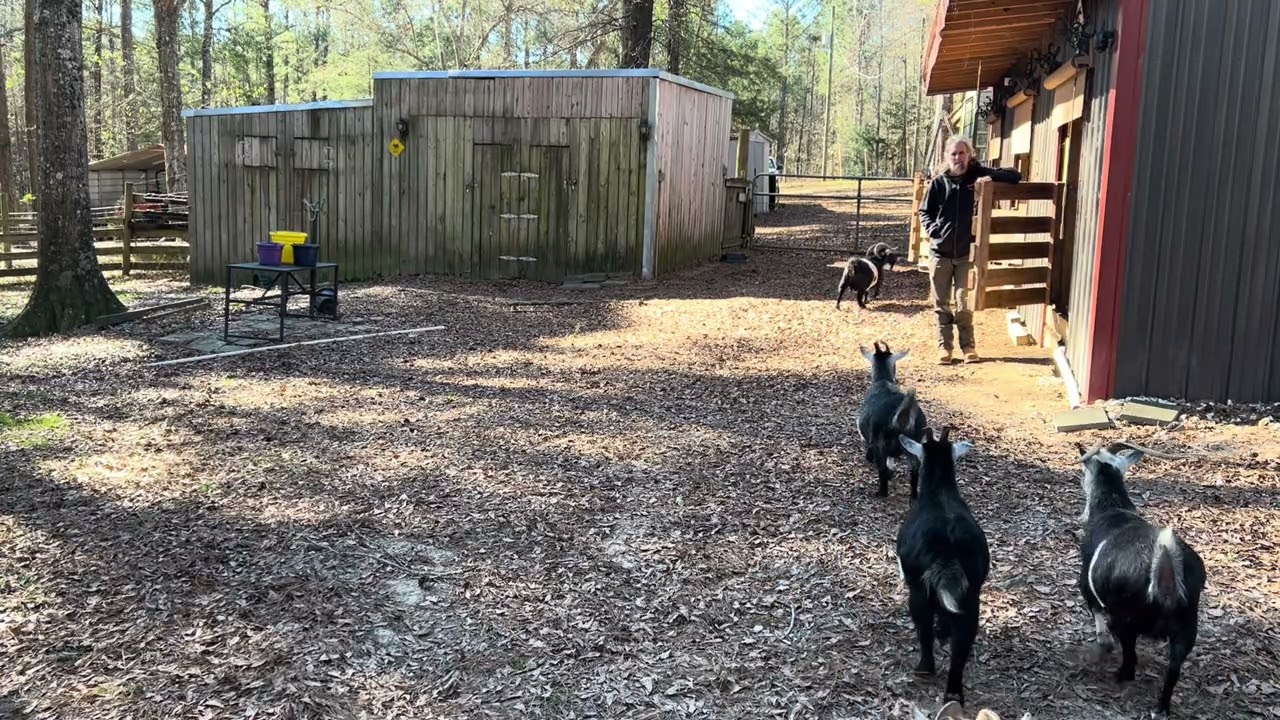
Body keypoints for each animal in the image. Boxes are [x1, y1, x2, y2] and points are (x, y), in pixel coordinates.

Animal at [856, 341, 927, 498]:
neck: (882, 380)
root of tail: (901, 417)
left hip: (879, 441)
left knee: (881, 467)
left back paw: (881, 493)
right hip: (915, 442)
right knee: (915, 468)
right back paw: (914, 496)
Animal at [896, 427, 989, 708]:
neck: (939, 492)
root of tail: (948, 548)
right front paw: (944, 632)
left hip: (918, 588)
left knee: (923, 624)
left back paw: (924, 668)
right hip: (971, 595)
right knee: (963, 641)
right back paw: (954, 693)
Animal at [1075, 442, 1206, 720]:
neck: (1113, 508)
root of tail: (1164, 578)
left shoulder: (1087, 584)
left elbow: (1095, 610)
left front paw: (1103, 641)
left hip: (1126, 620)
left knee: (1130, 659)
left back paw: (1119, 676)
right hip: (1187, 627)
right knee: (1173, 668)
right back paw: (1161, 709)